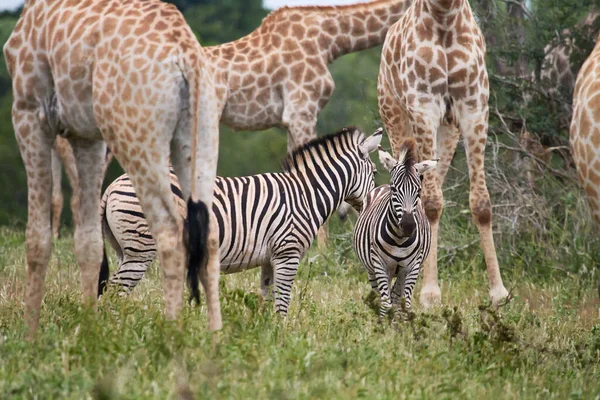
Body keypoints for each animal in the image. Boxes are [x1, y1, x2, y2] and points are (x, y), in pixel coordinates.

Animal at [2, 0, 223, 338]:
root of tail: (184, 52)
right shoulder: (86, 136)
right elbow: (89, 240)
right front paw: (89, 333)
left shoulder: (29, 112)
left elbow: (37, 238)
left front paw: (31, 338)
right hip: (201, 136)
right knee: (208, 235)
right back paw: (214, 340)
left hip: (135, 137)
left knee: (170, 233)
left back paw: (172, 339)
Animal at [100, 126, 382, 314]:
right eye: (375, 172)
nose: (371, 203)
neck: (305, 194)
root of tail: (111, 187)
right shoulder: (288, 254)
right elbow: (283, 303)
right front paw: (283, 339)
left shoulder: (271, 258)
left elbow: (267, 300)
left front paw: (266, 337)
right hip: (140, 250)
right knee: (114, 294)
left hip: (124, 250)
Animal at [354, 139, 438, 318]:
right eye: (394, 189)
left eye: (419, 190)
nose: (408, 226)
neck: (399, 240)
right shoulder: (380, 264)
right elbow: (385, 303)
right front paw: (384, 323)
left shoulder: (412, 267)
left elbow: (404, 303)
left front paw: (402, 323)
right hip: (372, 268)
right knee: (381, 295)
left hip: (401, 272)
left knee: (396, 297)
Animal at [378, 0, 508, 308]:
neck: (445, 14)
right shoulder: (424, 106)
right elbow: (430, 203)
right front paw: (429, 292)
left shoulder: (474, 106)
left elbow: (481, 203)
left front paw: (498, 292)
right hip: (395, 116)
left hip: (448, 133)